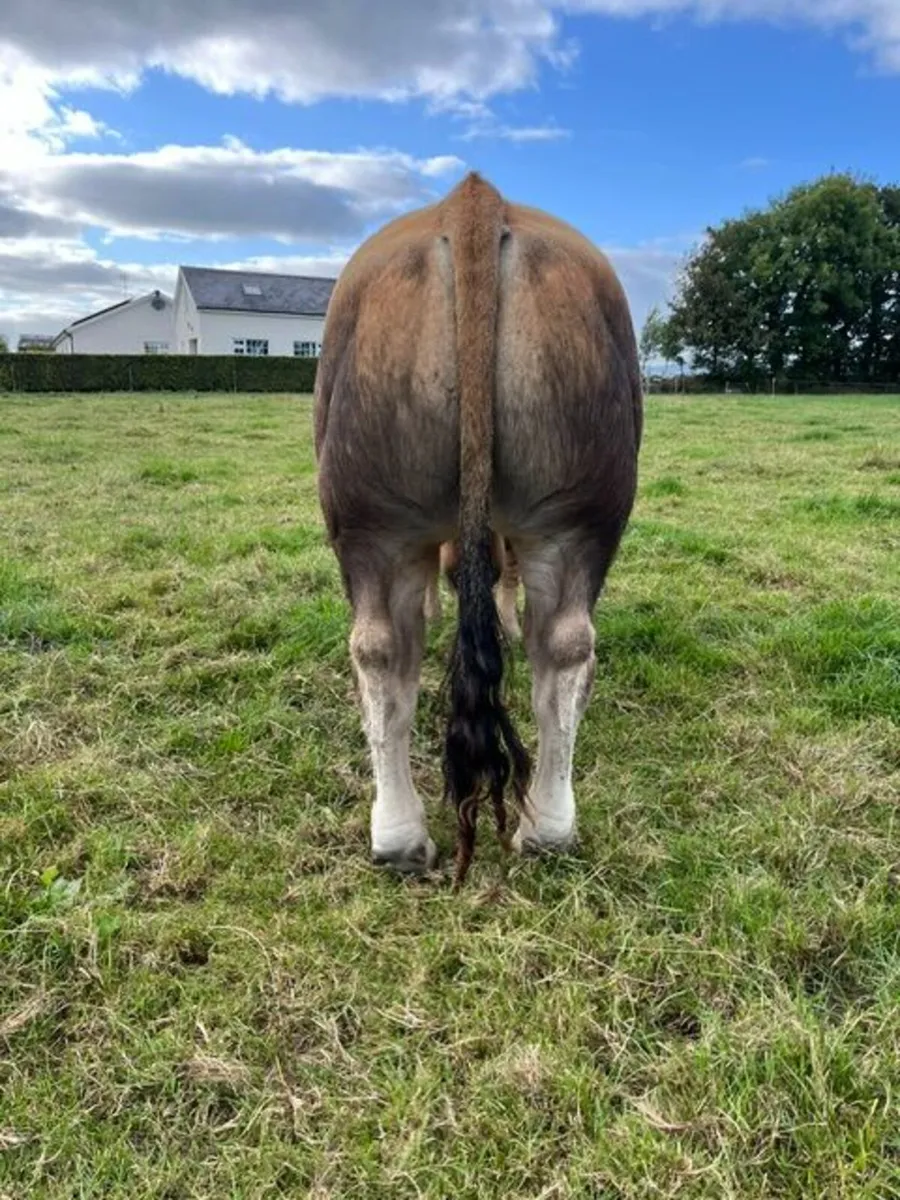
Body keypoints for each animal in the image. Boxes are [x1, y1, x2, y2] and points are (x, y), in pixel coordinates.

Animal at [314, 171, 642, 886]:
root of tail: (470, 201)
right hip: (575, 510)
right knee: (563, 647)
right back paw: (543, 831)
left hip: (370, 513)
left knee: (381, 651)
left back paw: (403, 836)